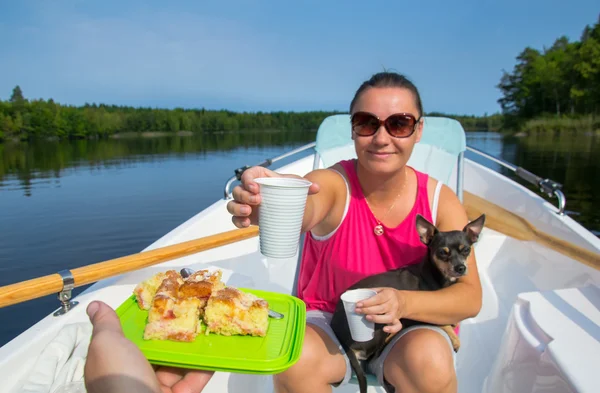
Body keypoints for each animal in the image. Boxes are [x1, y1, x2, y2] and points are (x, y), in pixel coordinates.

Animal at [330, 214, 486, 392]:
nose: (461, 268)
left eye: (466, 250)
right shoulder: (422, 312)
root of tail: (336, 328)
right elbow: (440, 322)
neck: (435, 275)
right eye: (442, 252)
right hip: (379, 325)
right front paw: (454, 337)